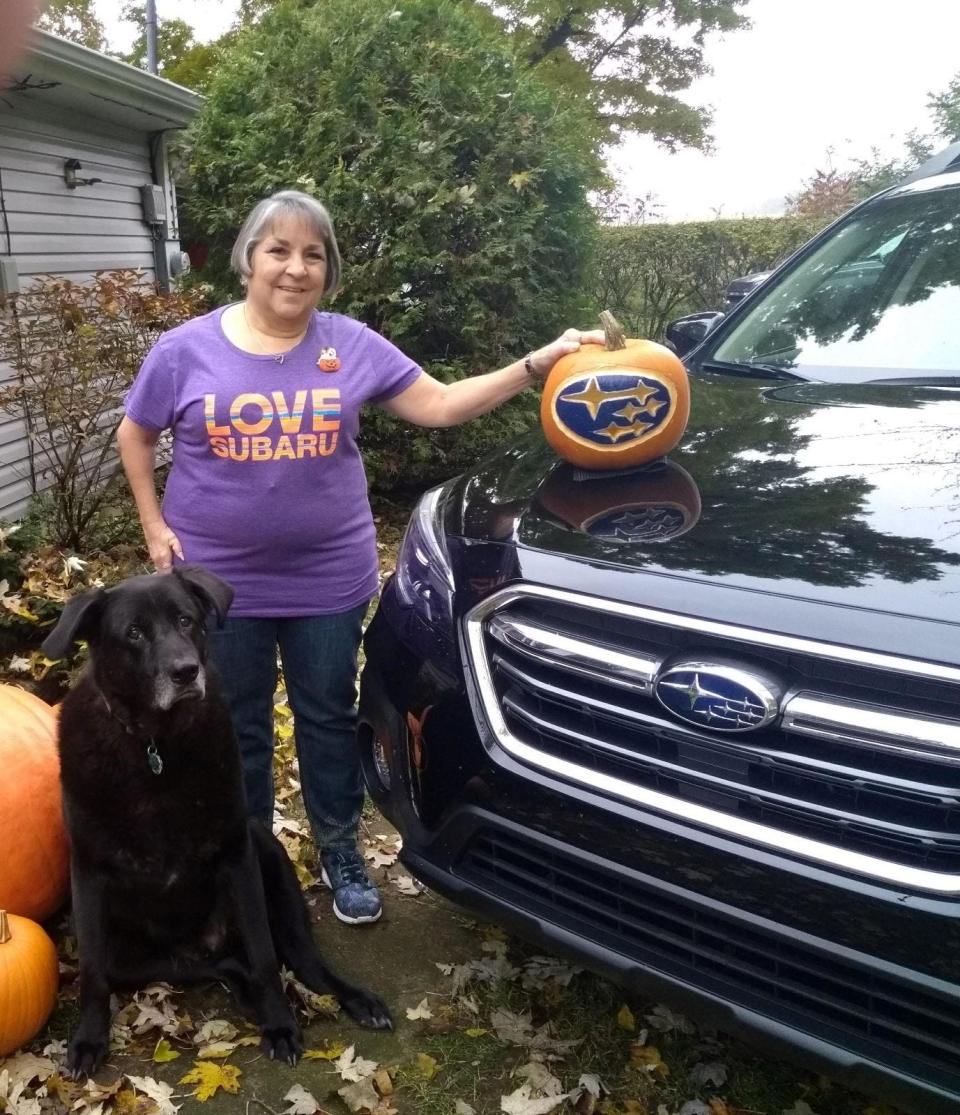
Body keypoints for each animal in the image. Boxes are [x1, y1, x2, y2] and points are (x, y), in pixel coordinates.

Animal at [42, 566, 390, 1079]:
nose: (187, 672)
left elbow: (265, 959)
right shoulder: (88, 875)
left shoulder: (237, 857)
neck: (156, 747)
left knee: (299, 964)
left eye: (186, 620)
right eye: (133, 633)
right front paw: (88, 1039)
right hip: (138, 957)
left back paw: (350, 999)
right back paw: (244, 991)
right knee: (223, 965)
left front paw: (280, 1024)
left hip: (269, 860)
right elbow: (92, 975)